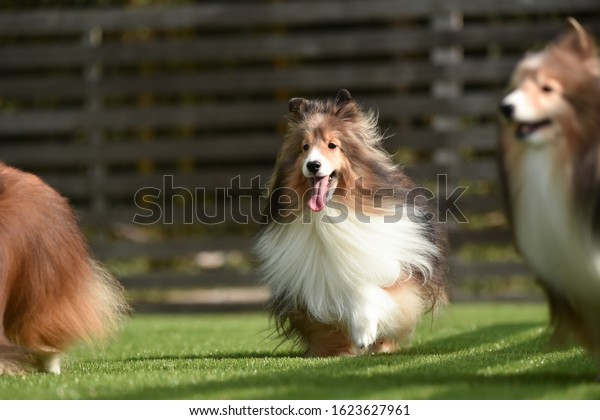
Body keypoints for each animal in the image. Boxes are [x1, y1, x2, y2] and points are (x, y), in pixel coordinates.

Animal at [253, 90, 446, 356]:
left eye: (332, 145)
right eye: (305, 147)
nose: (313, 165)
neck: (332, 212)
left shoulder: (391, 268)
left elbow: (365, 289)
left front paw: (364, 331)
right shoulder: (313, 277)